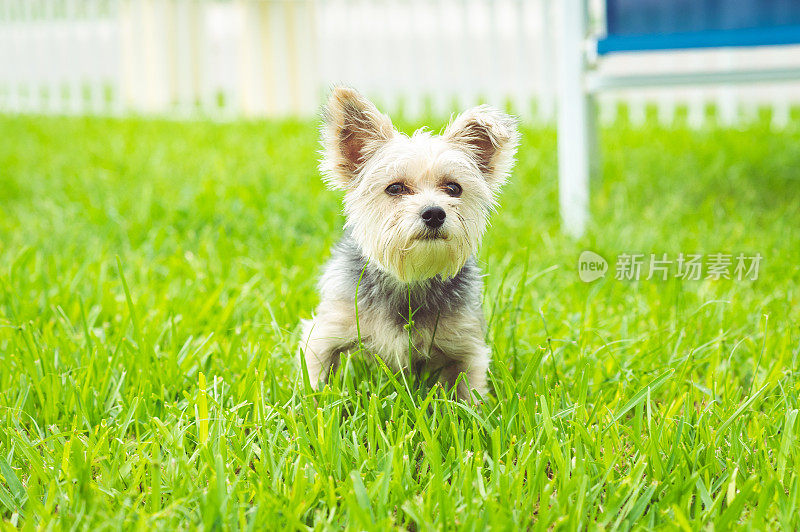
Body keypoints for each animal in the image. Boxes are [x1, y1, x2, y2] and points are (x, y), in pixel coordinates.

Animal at [300, 87, 520, 400]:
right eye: (395, 188)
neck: (411, 278)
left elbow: (469, 394)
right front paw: (311, 404)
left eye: (454, 188)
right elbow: (316, 383)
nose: (434, 213)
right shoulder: (325, 333)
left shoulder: (468, 348)